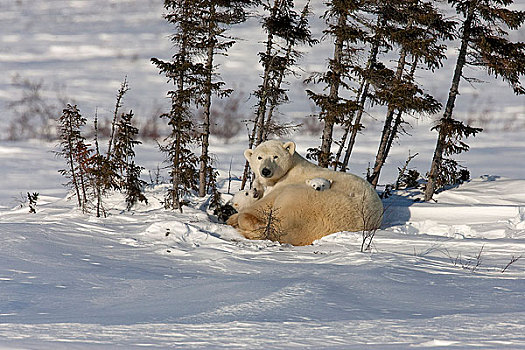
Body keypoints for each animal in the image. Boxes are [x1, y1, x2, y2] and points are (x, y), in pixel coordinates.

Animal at [225, 140, 380, 246]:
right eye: (259, 157)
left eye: (275, 156)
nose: (265, 171)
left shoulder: (287, 182)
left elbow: (264, 201)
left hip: (303, 199)